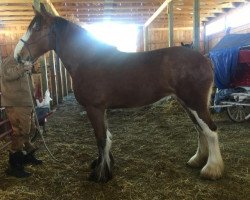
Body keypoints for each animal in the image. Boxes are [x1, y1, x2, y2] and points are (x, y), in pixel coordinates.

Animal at [14, 3, 225, 183]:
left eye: (36, 29)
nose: (18, 56)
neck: (88, 59)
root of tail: (204, 58)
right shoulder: (102, 109)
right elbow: (106, 138)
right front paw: (104, 166)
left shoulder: (94, 108)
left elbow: (101, 139)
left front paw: (100, 174)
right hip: (186, 103)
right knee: (199, 129)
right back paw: (197, 160)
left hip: (194, 102)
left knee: (210, 130)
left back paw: (211, 169)